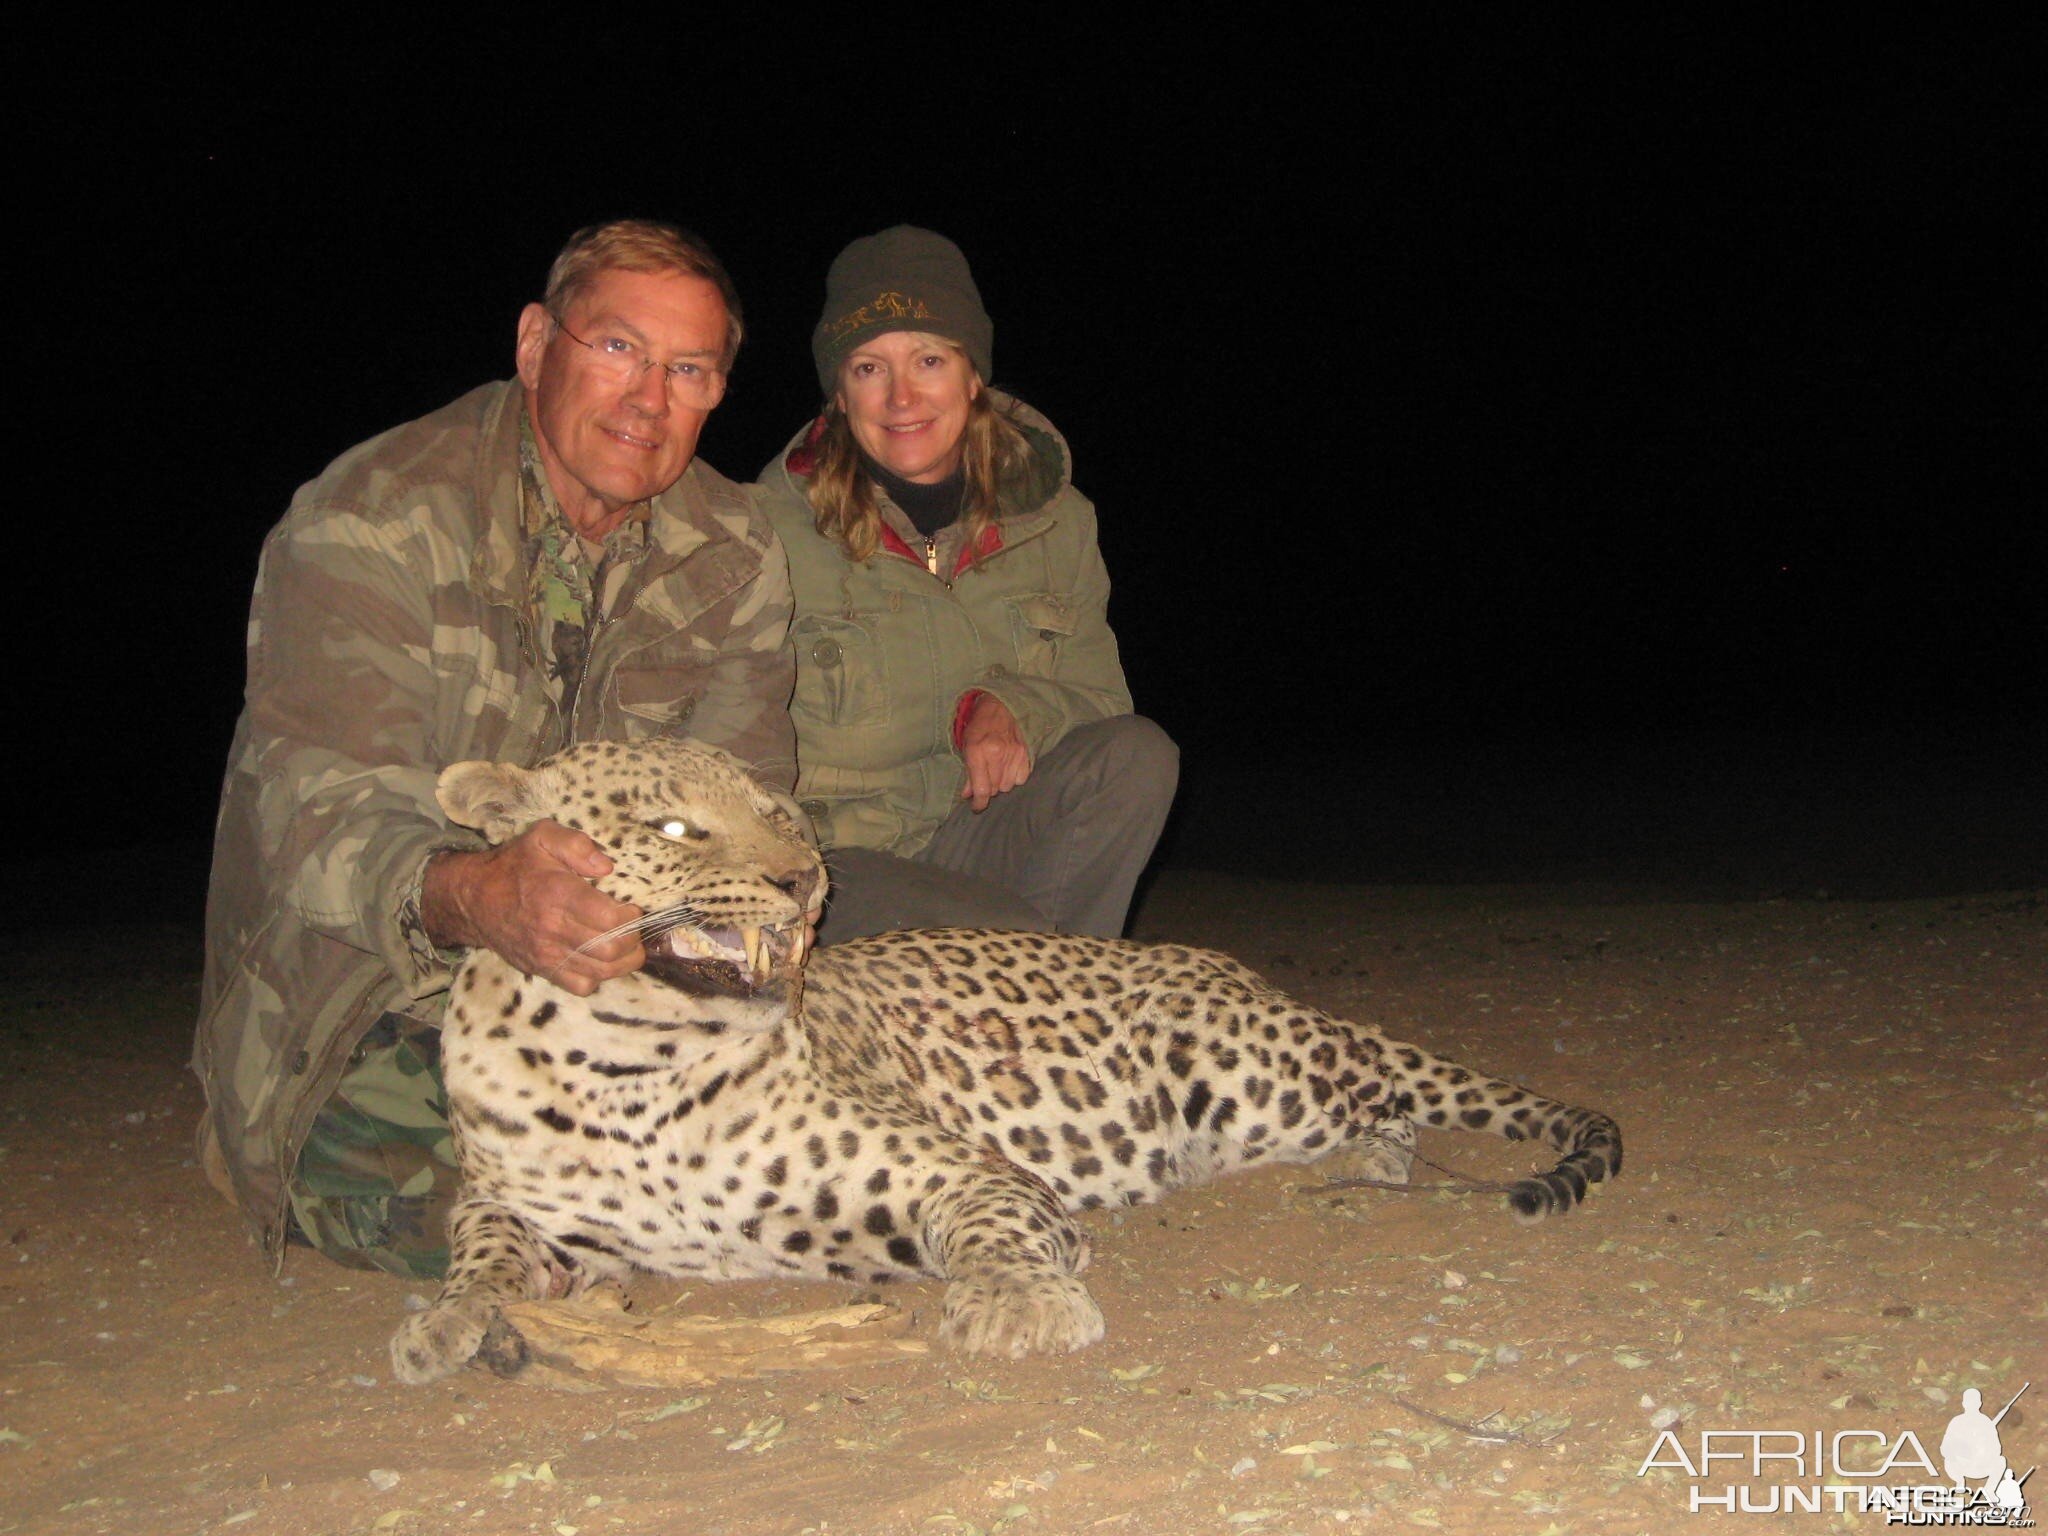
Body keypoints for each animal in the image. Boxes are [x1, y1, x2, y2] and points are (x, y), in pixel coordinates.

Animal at [391, 741, 1622, 1392]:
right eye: (675, 830)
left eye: (778, 813)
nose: (803, 879)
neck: (624, 1063)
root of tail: (1225, 966)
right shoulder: (520, 1203)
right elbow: (482, 1248)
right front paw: (446, 1320)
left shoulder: (967, 1173)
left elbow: (991, 1226)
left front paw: (1019, 1305)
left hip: (1248, 1071)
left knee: (1392, 1090)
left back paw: (1365, 1157)